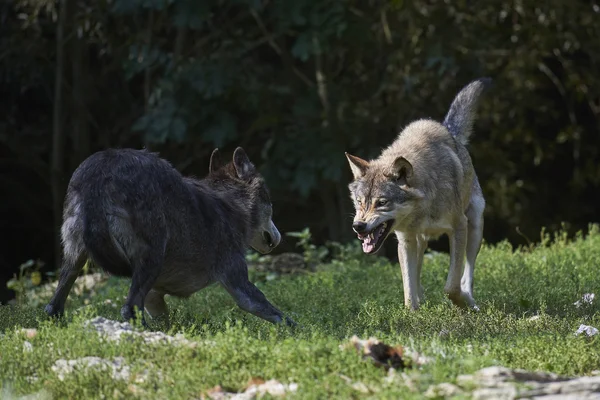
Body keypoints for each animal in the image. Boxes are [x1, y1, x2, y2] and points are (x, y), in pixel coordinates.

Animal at [45, 147, 296, 324]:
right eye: (269, 199)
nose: (278, 237)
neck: (230, 206)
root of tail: (99, 172)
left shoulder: (154, 296)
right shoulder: (239, 284)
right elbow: (283, 318)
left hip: (75, 261)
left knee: (52, 307)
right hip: (152, 255)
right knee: (128, 308)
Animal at [344, 77, 490, 310]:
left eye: (381, 202)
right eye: (359, 202)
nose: (358, 226)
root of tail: (449, 129)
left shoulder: (459, 227)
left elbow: (451, 286)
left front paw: (461, 304)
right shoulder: (405, 241)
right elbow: (408, 291)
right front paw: (413, 315)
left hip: (475, 227)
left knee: (467, 276)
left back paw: (470, 301)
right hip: (420, 241)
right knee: (417, 276)